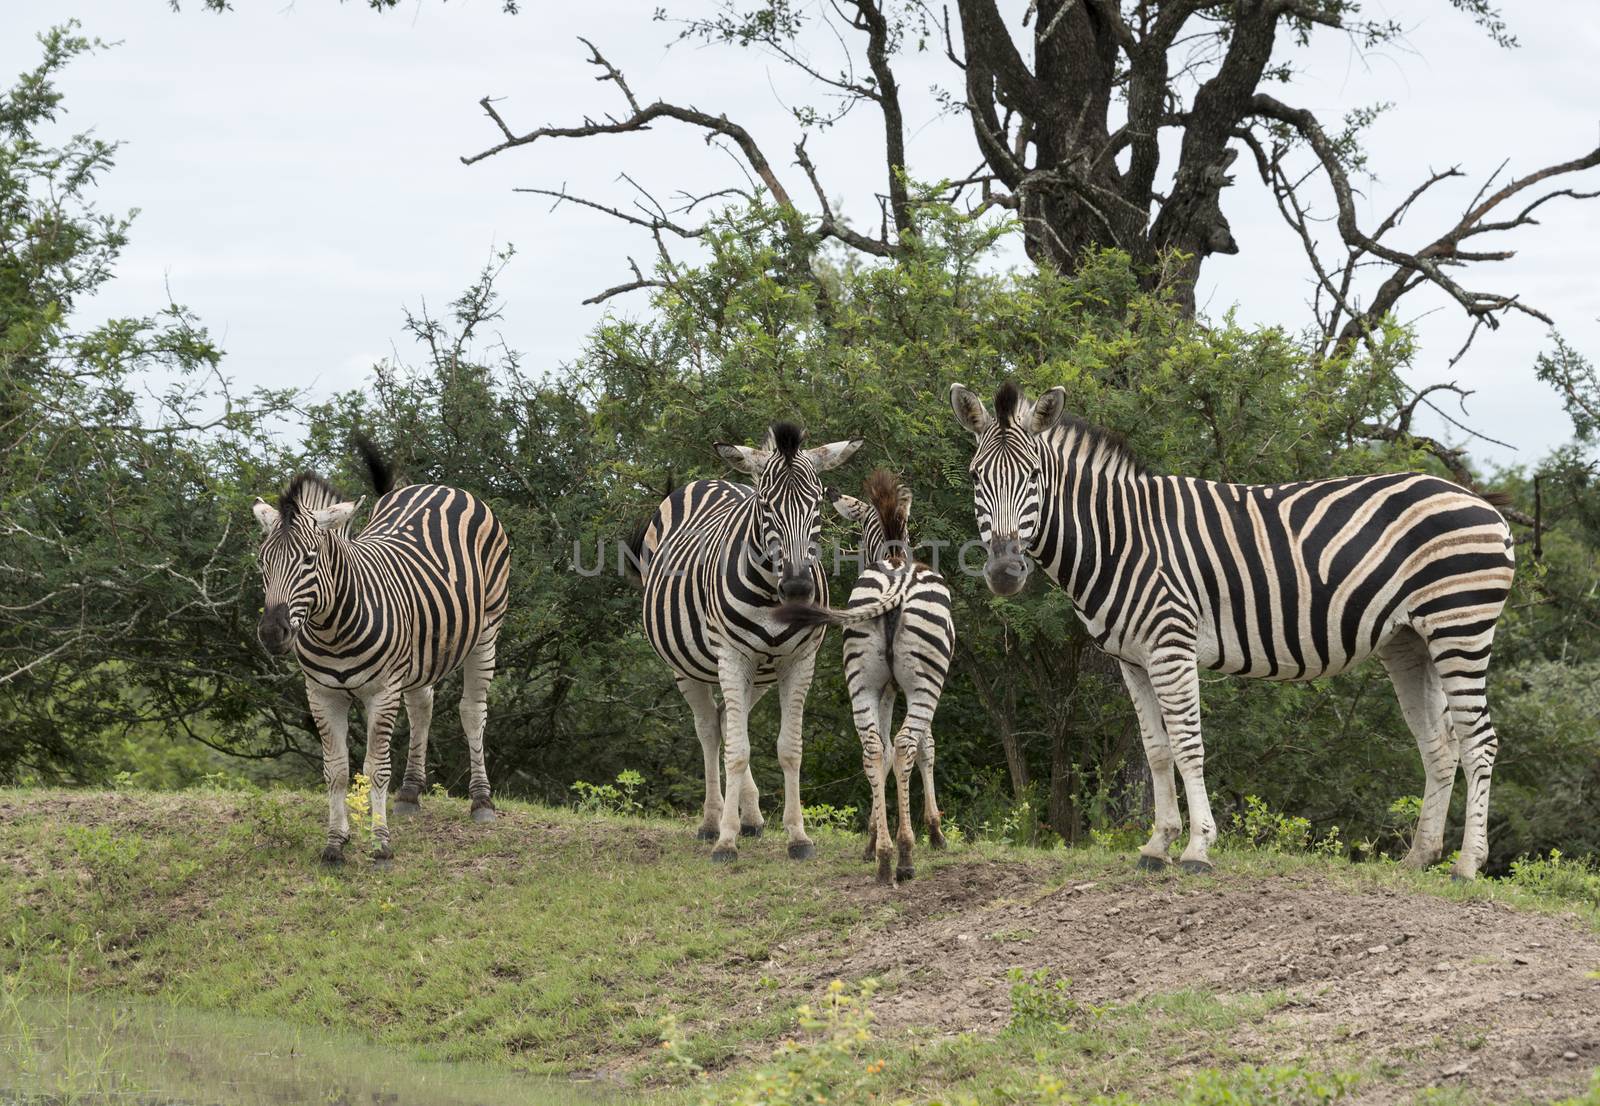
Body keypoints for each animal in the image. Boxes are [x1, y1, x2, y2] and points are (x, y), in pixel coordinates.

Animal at [252, 441, 508, 864]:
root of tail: (435, 486)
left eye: (309, 559)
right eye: (262, 561)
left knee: (472, 711)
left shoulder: (382, 692)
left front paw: (381, 844)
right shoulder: (322, 695)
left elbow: (375, 768)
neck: (332, 630)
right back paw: (409, 793)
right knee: (422, 706)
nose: (273, 632)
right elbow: (336, 770)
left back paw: (481, 802)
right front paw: (335, 843)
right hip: (421, 652)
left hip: (487, 629)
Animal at [636, 422, 864, 864]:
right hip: (687, 665)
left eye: (817, 506)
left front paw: (797, 836)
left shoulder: (800, 660)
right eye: (766, 505)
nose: (798, 588)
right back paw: (712, 822)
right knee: (711, 731)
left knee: (728, 720)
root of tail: (711, 480)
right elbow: (737, 751)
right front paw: (726, 841)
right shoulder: (733, 655)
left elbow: (789, 748)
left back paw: (752, 818)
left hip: (758, 673)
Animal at [774, 470, 947, 889]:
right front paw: (935, 831)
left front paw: (872, 837)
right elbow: (925, 748)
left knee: (872, 748)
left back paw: (883, 856)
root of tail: (897, 580)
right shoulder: (908, 691)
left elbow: (881, 753)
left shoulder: (884, 690)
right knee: (905, 744)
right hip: (925, 683)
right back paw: (904, 856)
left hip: (861, 681)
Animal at [947, 380, 1510, 883]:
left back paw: (1465, 866)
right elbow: (1156, 749)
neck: (1119, 537)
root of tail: (1485, 505)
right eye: (975, 477)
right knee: (1440, 745)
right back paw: (1418, 858)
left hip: (1460, 628)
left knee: (1479, 741)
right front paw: (1157, 846)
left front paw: (1197, 849)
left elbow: (1188, 744)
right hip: (1409, 642)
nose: (1003, 572)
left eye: (1033, 476)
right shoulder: (1132, 659)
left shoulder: (1171, 644)